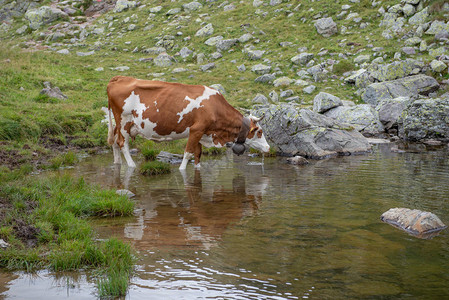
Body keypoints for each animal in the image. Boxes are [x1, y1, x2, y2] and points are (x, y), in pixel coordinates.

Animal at [107, 75, 270, 169]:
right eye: (260, 132)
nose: (268, 148)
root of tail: (118, 78)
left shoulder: (202, 133)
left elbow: (198, 154)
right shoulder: (196, 130)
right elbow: (187, 154)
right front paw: (182, 170)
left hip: (121, 124)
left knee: (114, 141)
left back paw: (117, 163)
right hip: (124, 121)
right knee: (122, 143)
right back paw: (131, 165)